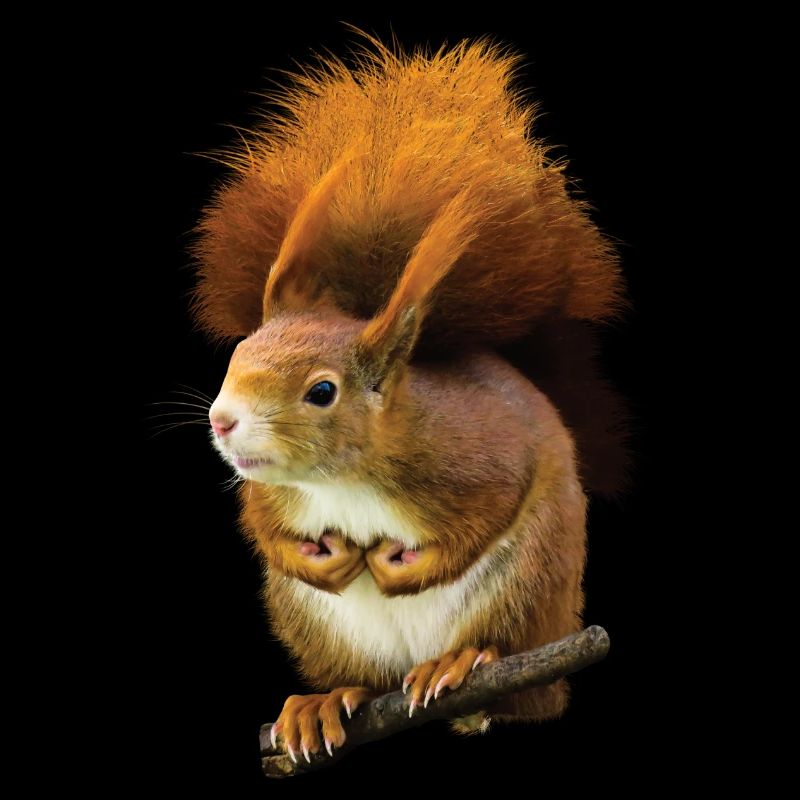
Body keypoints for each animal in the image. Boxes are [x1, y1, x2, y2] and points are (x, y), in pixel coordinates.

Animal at [193, 33, 626, 762]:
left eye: (322, 391)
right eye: (237, 357)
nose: (223, 422)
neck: (342, 479)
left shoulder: (477, 456)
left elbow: (487, 512)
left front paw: (397, 568)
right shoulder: (271, 493)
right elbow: (264, 527)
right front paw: (321, 558)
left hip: (526, 591)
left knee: (521, 684)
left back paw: (462, 665)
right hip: (320, 628)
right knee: (363, 680)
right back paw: (325, 702)